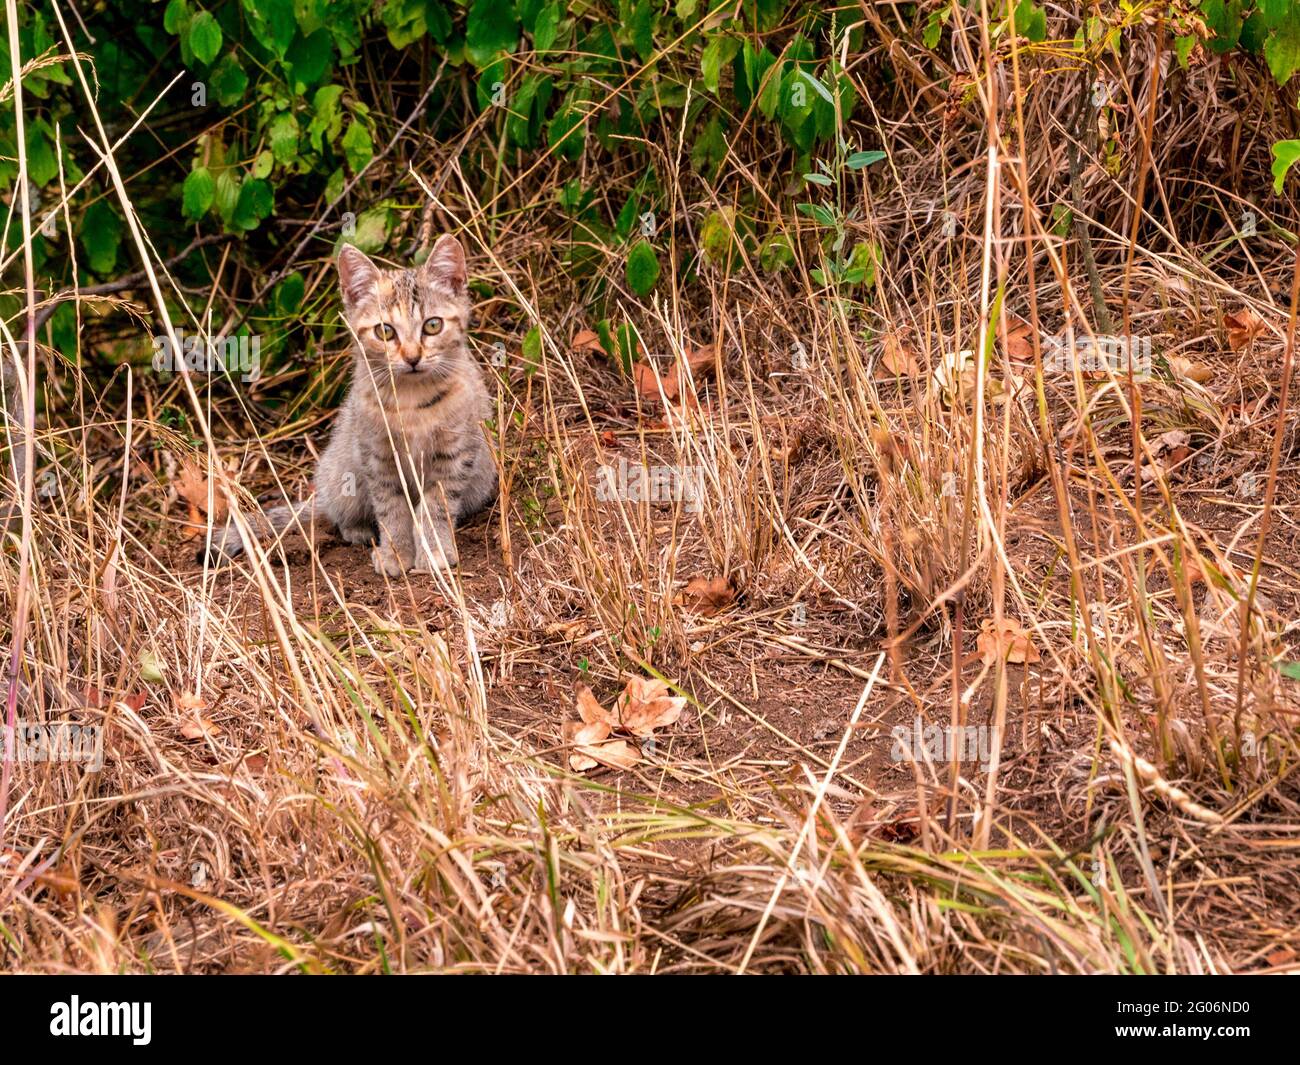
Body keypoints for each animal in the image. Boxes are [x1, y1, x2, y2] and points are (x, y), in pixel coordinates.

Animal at [208, 236, 496, 574]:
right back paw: (357, 529)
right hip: (342, 473)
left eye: (433, 325)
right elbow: (391, 508)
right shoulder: (377, 456)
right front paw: (395, 553)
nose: (412, 357)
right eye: (385, 331)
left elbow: (437, 507)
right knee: (339, 512)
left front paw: (434, 550)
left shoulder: (454, 454)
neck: (411, 400)